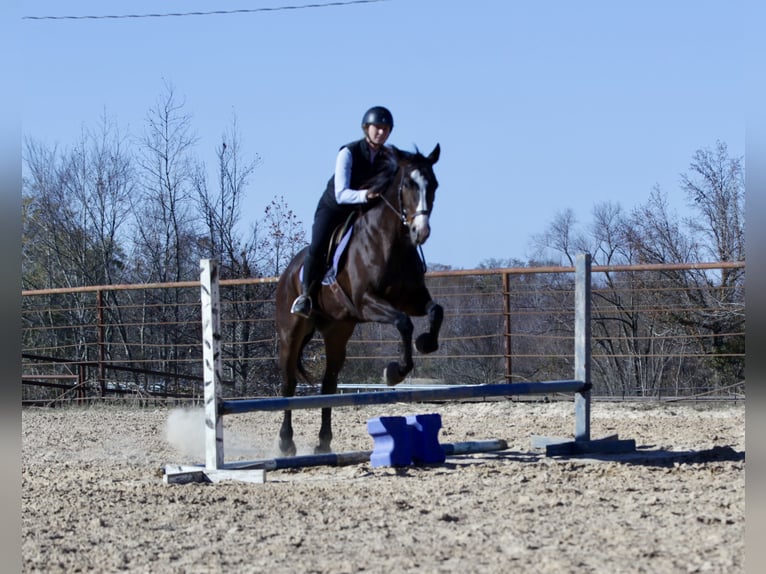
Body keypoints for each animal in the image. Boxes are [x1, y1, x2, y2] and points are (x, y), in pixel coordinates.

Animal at [274, 143, 443, 456]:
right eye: (408, 184)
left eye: (434, 185)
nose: (421, 232)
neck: (390, 241)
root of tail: (287, 272)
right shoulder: (367, 302)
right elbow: (403, 323)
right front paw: (395, 372)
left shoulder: (412, 298)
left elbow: (436, 311)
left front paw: (426, 343)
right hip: (290, 332)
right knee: (288, 383)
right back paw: (286, 442)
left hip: (337, 331)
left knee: (329, 384)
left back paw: (324, 443)